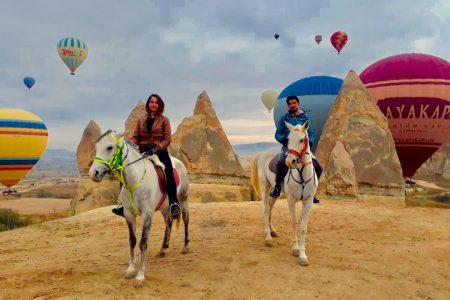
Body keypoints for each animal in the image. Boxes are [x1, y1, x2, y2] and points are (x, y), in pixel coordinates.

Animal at [89, 130, 189, 288]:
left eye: (110, 147)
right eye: (96, 147)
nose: (93, 173)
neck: (134, 180)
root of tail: (179, 162)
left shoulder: (147, 215)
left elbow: (143, 243)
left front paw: (140, 276)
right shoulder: (129, 214)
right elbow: (132, 240)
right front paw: (130, 270)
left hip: (183, 199)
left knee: (185, 218)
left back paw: (185, 246)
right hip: (164, 206)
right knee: (168, 222)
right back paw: (163, 248)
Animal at [251, 120, 318, 266]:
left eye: (302, 139)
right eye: (287, 139)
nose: (289, 161)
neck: (302, 175)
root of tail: (263, 153)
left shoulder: (308, 201)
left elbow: (303, 227)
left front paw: (303, 255)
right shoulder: (291, 200)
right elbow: (294, 222)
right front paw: (295, 249)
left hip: (275, 192)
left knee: (270, 208)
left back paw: (272, 231)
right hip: (265, 187)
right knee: (266, 210)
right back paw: (268, 237)